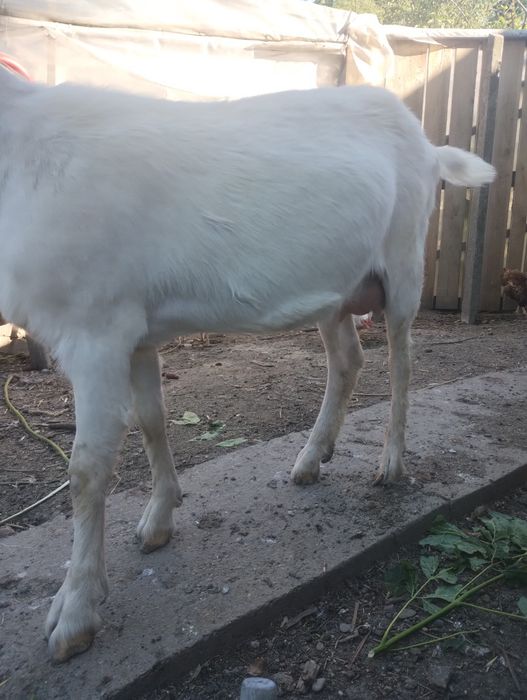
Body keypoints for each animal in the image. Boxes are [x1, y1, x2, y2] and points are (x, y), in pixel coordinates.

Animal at [0, 66, 495, 661]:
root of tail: (428, 144)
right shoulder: (134, 332)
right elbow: (151, 421)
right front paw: (158, 520)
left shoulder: (94, 330)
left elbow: (86, 470)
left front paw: (73, 615)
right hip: (337, 287)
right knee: (348, 360)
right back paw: (311, 459)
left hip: (403, 262)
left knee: (401, 360)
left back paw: (391, 464)